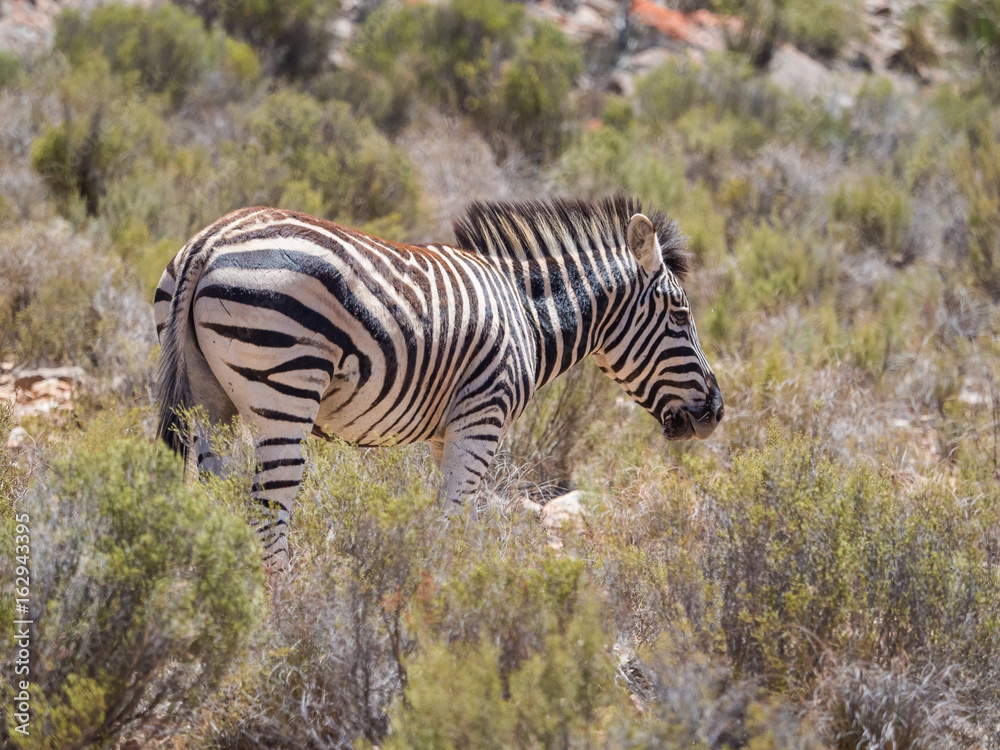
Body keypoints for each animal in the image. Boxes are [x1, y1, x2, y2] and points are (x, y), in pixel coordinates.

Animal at [154, 196, 723, 572]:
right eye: (680, 314)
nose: (715, 413)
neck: (527, 315)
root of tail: (210, 242)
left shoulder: (445, 433)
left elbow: (454, 522)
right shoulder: (482, 421)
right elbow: (450, 521)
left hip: (208, 403)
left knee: (219, 498)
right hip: (286, 394)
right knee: (268, 514)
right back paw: (281, 621)